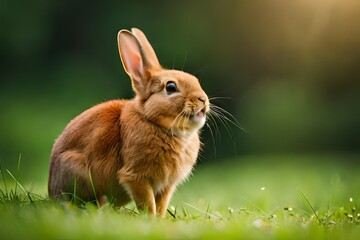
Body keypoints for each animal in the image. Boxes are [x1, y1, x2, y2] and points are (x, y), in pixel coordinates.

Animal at [49, 27, 210, 218]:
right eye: (170, 87)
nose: (203, 99)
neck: (153, 121)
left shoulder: (166, 186)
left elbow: (161, 205)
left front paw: (159, 220)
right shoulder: (135, 176)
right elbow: (148, 203)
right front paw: (150, 219)